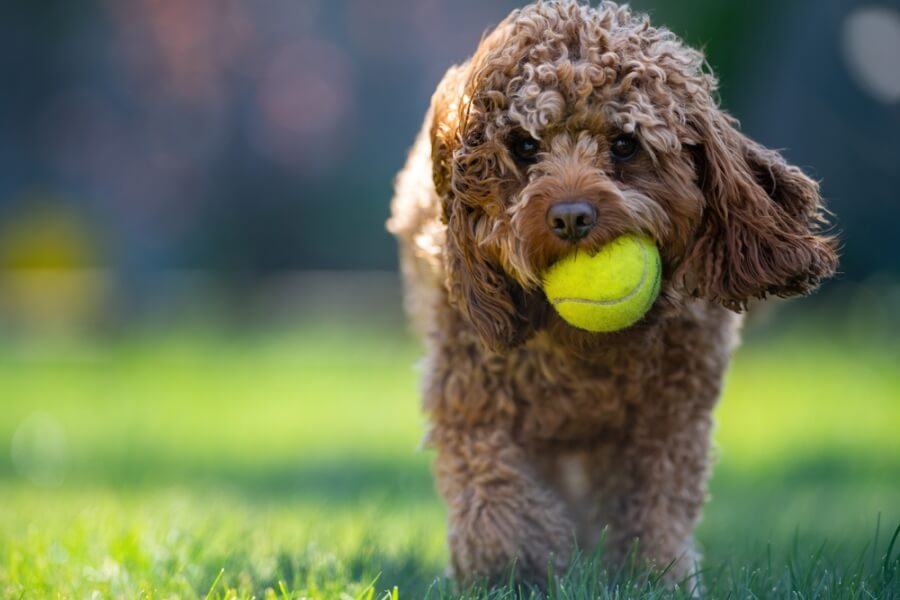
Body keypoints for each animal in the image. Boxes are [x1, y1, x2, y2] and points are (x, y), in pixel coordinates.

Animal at [384, 0, 836, 588]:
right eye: (524, 146)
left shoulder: (667, 418)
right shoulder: (474, 397)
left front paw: (656, 577)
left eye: (625, 143)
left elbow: (653, 506)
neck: (584, 351)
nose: (571, 217)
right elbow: (494, 493)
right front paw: (515, 570)